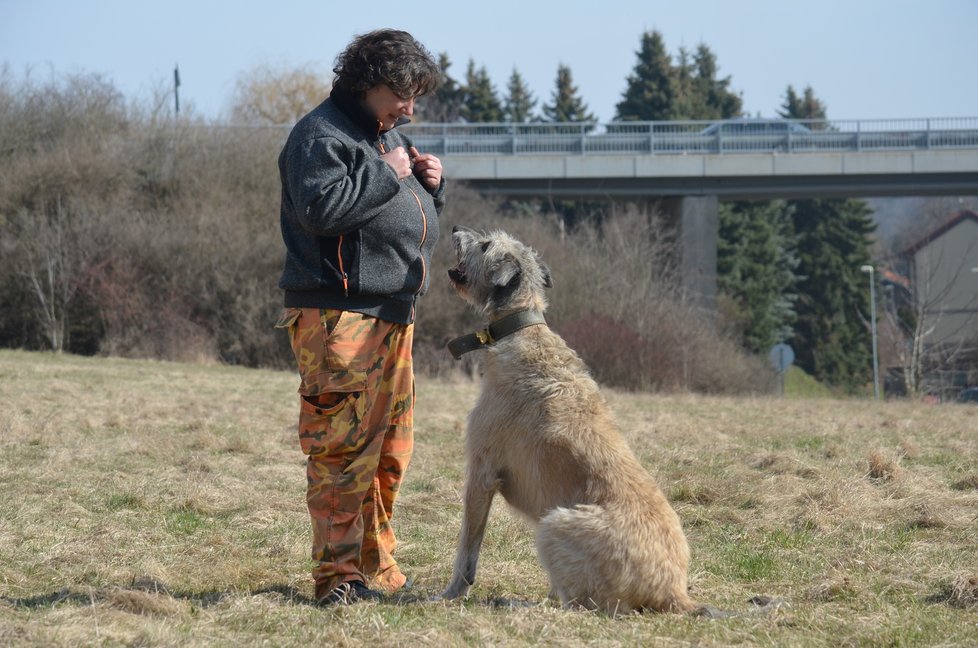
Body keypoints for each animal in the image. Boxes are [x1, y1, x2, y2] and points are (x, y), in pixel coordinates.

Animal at [438, 224, 696, 612]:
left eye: (484, 245)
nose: (455, 229)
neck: (522, 328)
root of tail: (674, 591)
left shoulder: (482, 472)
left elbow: (467, 548)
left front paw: (453, 591)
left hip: (554, 523)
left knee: (579, 603)